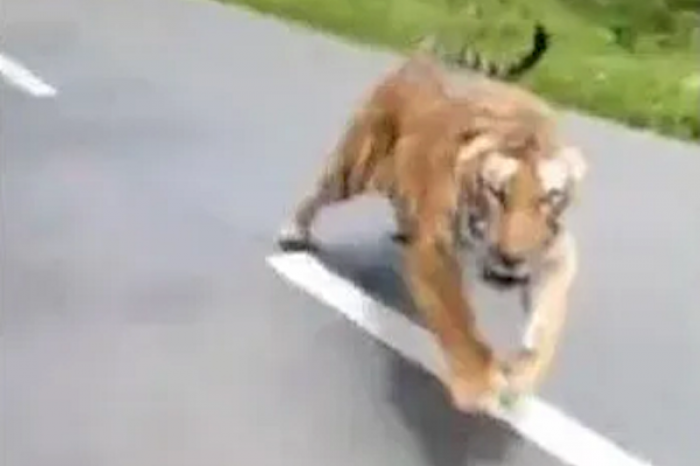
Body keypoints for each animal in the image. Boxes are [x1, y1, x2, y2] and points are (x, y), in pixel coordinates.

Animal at [276, 23, 588, 414]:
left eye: (549, 198)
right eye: (498, 193)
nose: (510, 257)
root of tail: (423, 57)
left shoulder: (556, 254)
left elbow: (546, 321)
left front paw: (520, 379)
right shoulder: (437, 250)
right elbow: (457, 319)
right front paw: (478, 384)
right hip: (355, 166)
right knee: (318, 192)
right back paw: (293, 230)